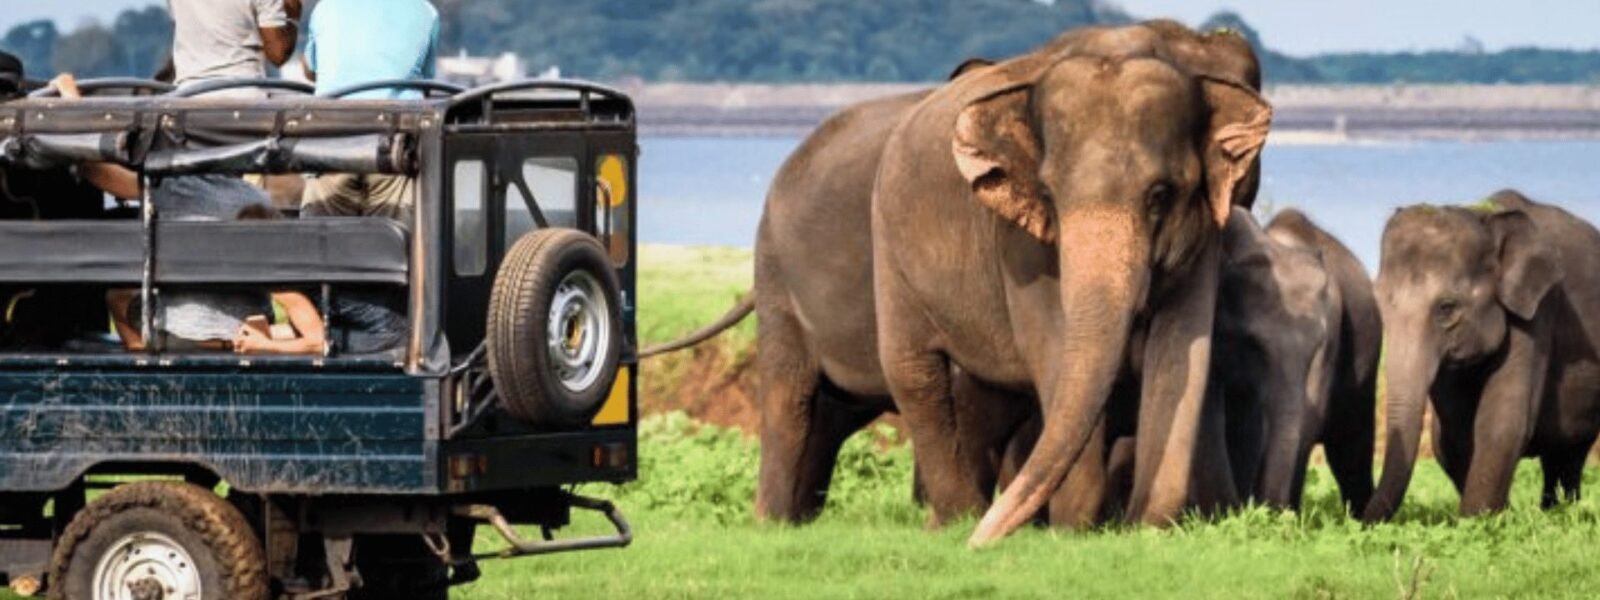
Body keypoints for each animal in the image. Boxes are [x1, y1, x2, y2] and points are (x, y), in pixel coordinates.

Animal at [870, 23, 1271, 545]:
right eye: (1048, 194)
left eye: (1160, 195)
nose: (981, 544)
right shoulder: (1020, 243)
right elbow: (1054, 348)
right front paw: (1074, 530)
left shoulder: (1205, 230)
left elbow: (1182, 349)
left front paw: (1144, 527)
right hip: (888, 250)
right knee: (913, 372)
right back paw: (958, 520)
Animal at [1363, 190, 1600, 521]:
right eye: (1379, 304)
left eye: (1447, 308)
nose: (1357, 520)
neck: (1484, 216)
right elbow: (1452, 435)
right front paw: (1499, 516)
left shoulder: (1538, 309)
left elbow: (1501, 420)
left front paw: (1482, 521)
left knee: (1570, 454)